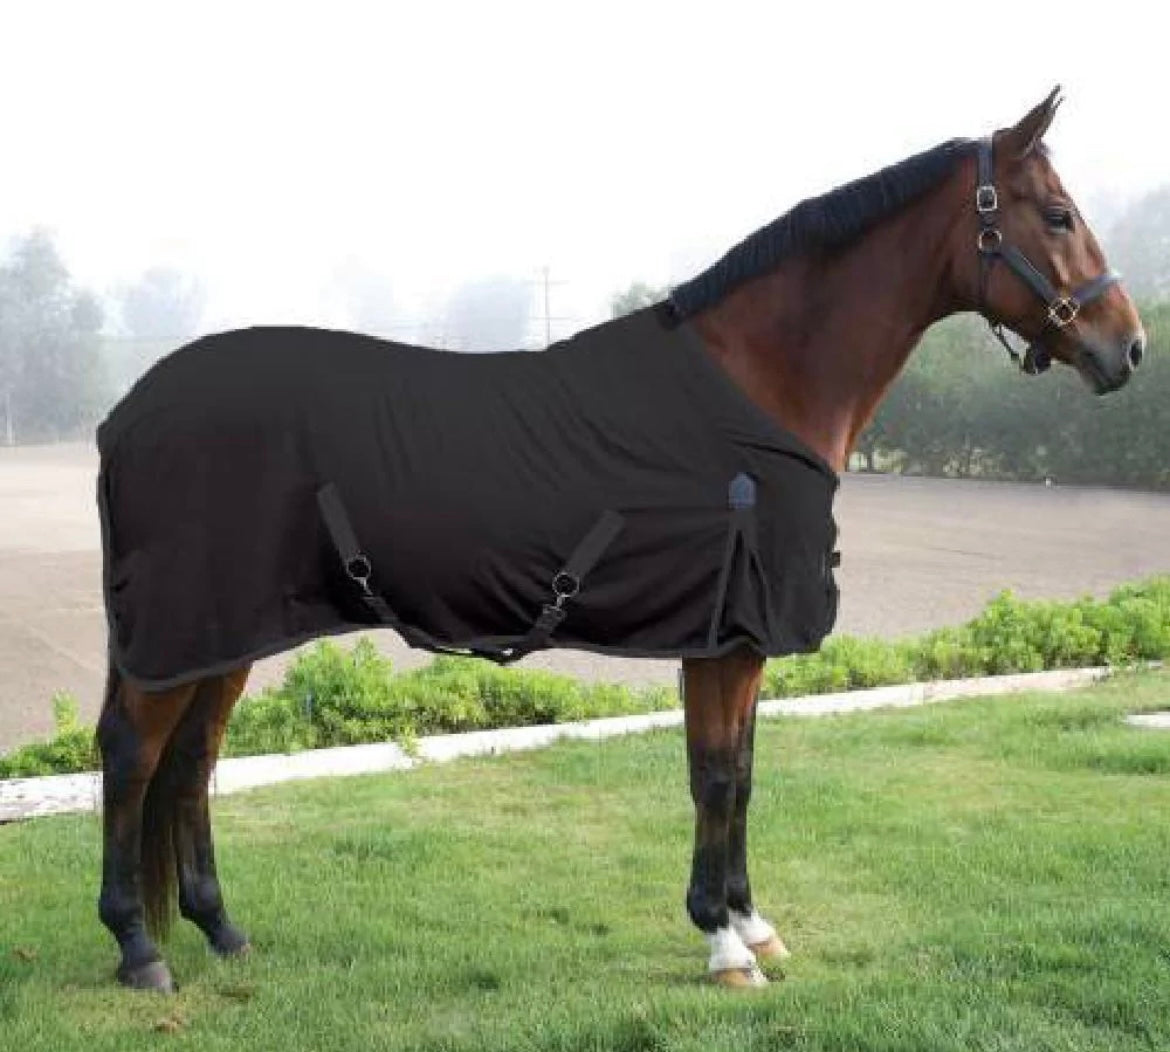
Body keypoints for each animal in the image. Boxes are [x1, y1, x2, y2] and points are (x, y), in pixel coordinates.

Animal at [93, 88, 1145, 993]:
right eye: (1056, 215)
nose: (1127, 347)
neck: (756, 386)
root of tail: (128, 413)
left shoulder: (738, 642)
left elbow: (743, 774)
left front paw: (754, 922)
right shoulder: (721, 639)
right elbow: (715, 776)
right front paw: (724, 944)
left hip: (223, 634)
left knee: (191, 763)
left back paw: (221, 929)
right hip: (181, 632)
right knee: (133, 755)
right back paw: (139, 948)